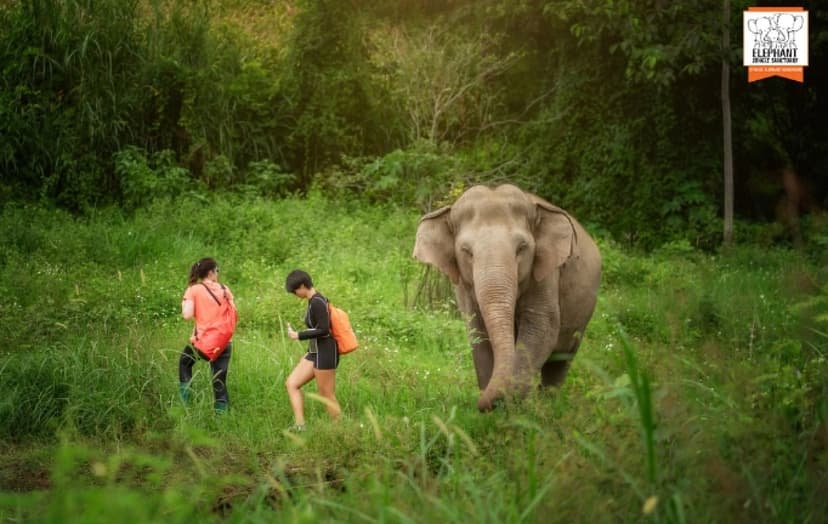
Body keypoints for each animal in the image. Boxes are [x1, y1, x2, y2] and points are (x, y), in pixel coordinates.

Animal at [413, 184, 601, 411]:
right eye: (466, 251)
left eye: (522, 248)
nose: (479, 404)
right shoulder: (464, 287)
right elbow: (478, 332)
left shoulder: (546, 274)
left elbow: (541, 328)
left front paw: (516, 407)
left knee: (561, 361)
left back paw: (548, 404)